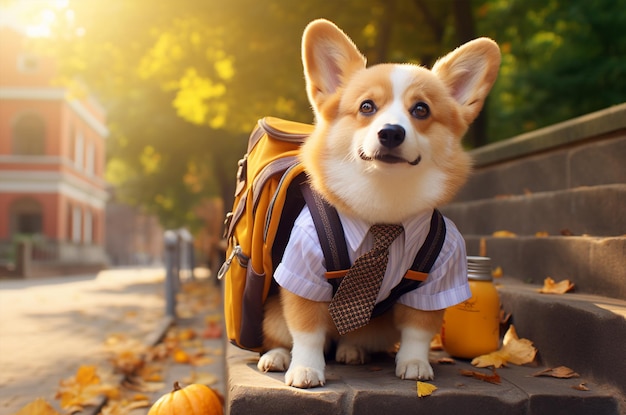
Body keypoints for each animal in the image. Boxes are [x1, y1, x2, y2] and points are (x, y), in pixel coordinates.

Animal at [256, 18, 500, 390]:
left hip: (376, 330)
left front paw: (414, 363)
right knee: (283, 337)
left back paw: (351, 350)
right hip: (271, 316)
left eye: (421, 109)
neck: (384, 201)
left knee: (353, 338)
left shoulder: (439, 279)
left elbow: (418, 329)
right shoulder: (302, 272)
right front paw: (306, 369)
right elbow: (307, 332)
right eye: (367, 107)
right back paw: (278, 357)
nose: (391, 133)